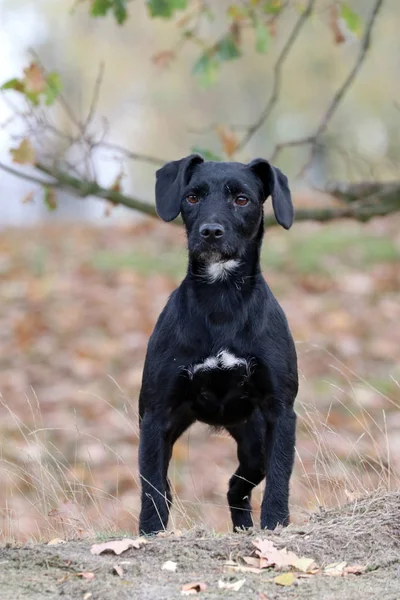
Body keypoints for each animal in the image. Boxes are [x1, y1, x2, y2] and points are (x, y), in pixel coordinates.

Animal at [138, 155, 296, 536]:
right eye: (192, 197)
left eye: (242, 200)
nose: (210, 231)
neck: (221, 301)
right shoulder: (156, 415)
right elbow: (152, 487)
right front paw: (150, 534)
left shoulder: (281, 411)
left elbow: (280, 478)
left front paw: (275, 526)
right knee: (173, 486)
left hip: (254, 443)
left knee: (237, 487)